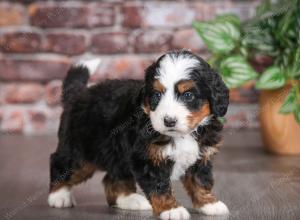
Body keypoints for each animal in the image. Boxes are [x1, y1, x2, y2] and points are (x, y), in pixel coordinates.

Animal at [48, 50, 229, 219]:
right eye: (157, 95)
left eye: (188, 95)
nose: (169, 121)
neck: (184, 135)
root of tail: (78, 95)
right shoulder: (147, 158)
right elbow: (159, 186)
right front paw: (171, 209)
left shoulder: (201, 156)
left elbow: (200, 181)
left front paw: (209, 203)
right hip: (79, 151)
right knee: (61, 165)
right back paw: (59, 196)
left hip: (116, 154)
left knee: (113, 178)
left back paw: (130, 199)